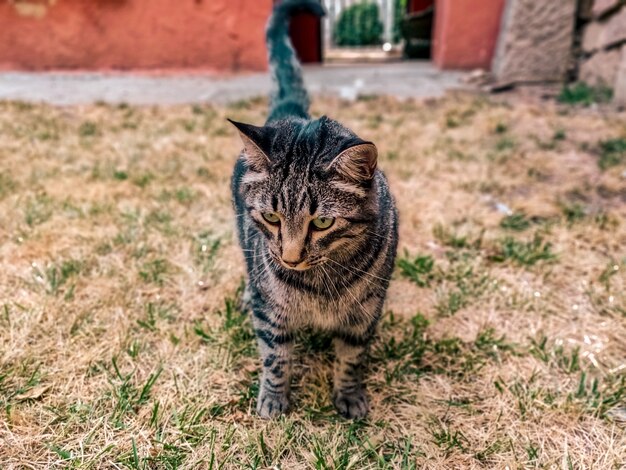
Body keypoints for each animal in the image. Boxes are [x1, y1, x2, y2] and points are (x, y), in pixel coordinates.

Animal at [228, 0, 394, 418]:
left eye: (322, 222)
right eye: (271, 216)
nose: (290, 258)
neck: (320, 287)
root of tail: (292, 116)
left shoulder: (363, 316)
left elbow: (351, 361)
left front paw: (349, 395)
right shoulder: (272, 314)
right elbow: (275, 359)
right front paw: (273, 399)